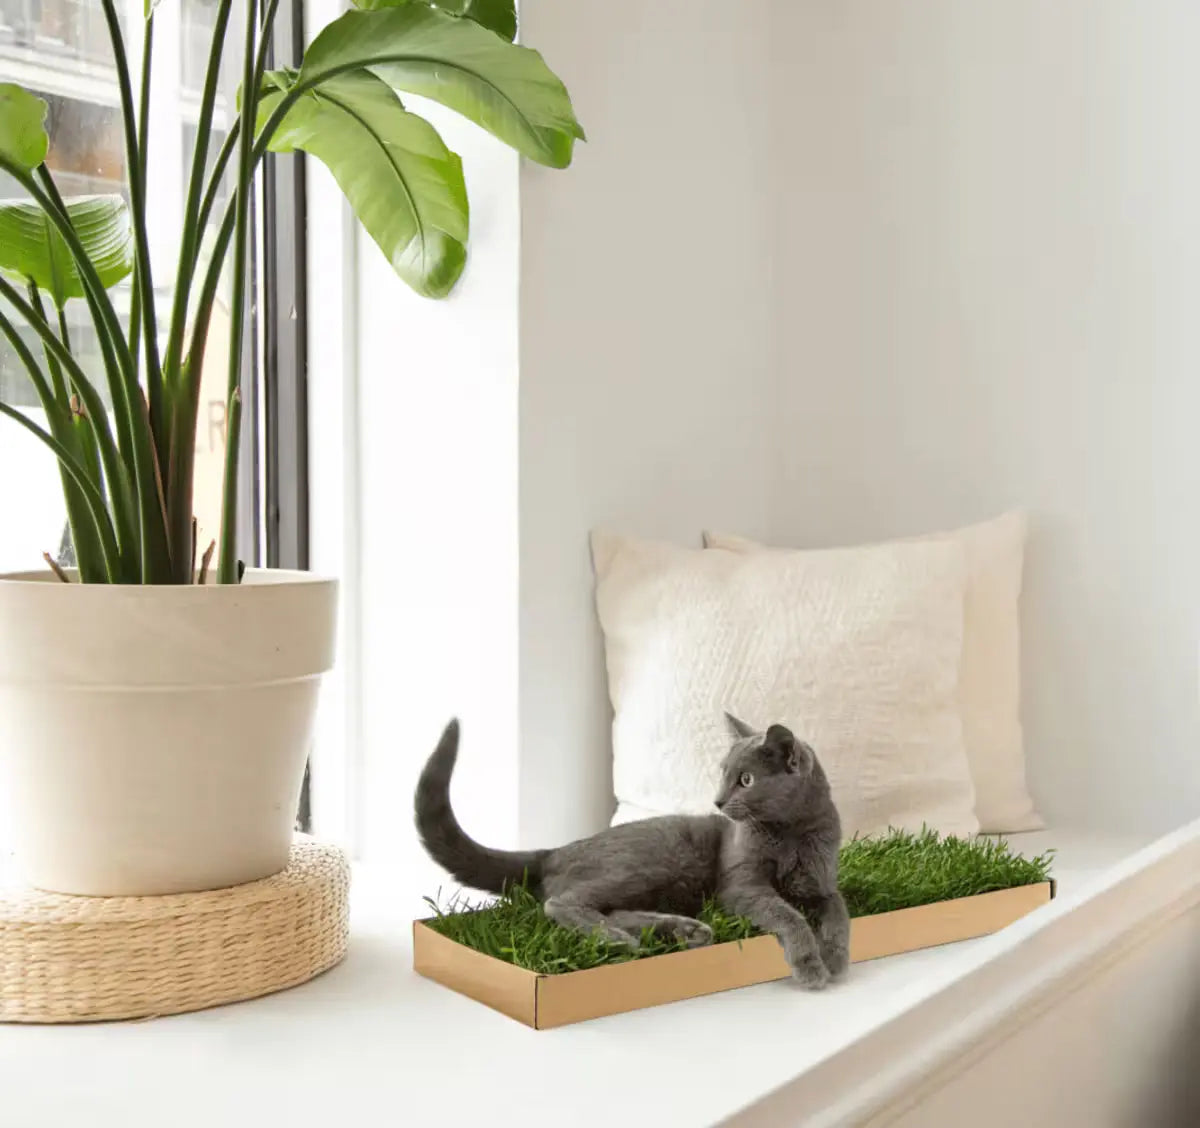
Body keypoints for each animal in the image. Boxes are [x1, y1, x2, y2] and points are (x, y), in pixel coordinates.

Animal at [417, 715, 849, 988]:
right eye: (723, 774)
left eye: (746, 780)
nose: (718, 801)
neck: (791, 835)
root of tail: (554, 851)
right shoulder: (742, 885)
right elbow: (788, 914)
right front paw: (811, 966)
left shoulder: (822, 884)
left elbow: (839, 910)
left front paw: (838, 957)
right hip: (653, 859)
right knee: (561, 902)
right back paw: (619, 940)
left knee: (614, 909)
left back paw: (684, 930)